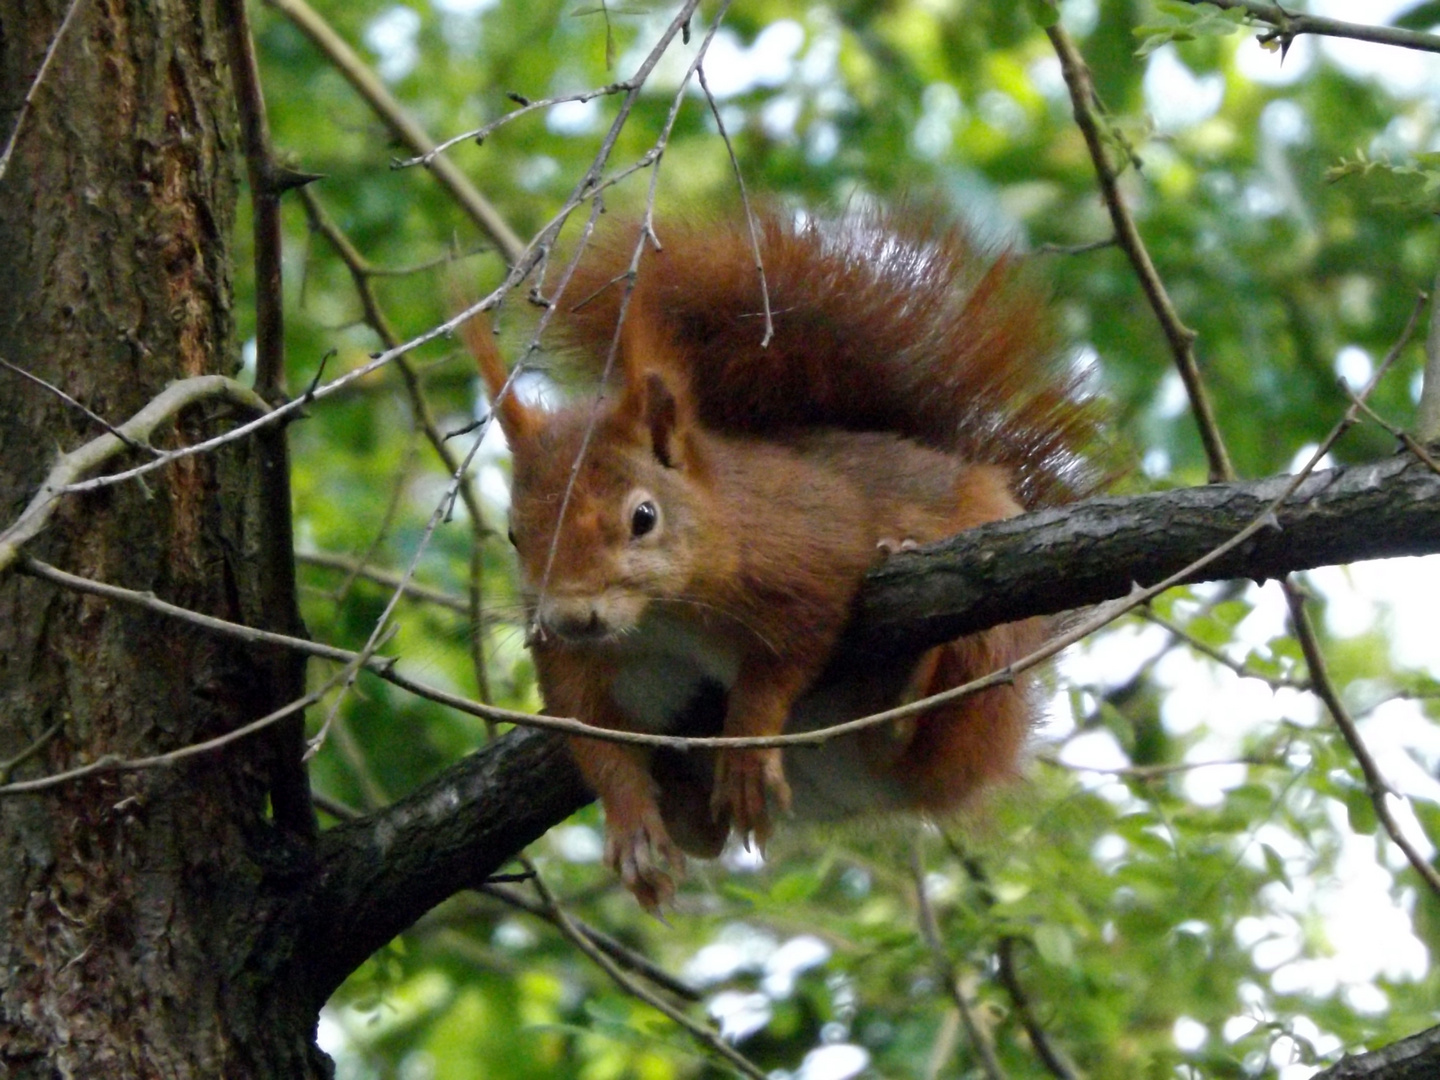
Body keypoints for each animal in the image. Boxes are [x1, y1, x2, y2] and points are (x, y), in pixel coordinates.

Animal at [466, 207, 1094, 910]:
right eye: (514, 533)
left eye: (643, 518)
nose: (571, 618)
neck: (661, 616)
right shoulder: (579, 667)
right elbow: (596, 738)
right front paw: (632, 829)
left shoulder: (804, 557)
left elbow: (785, 658)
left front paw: (746, 749)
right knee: (704, 829)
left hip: (987, 657)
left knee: (934, 717)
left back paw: (908, 658)